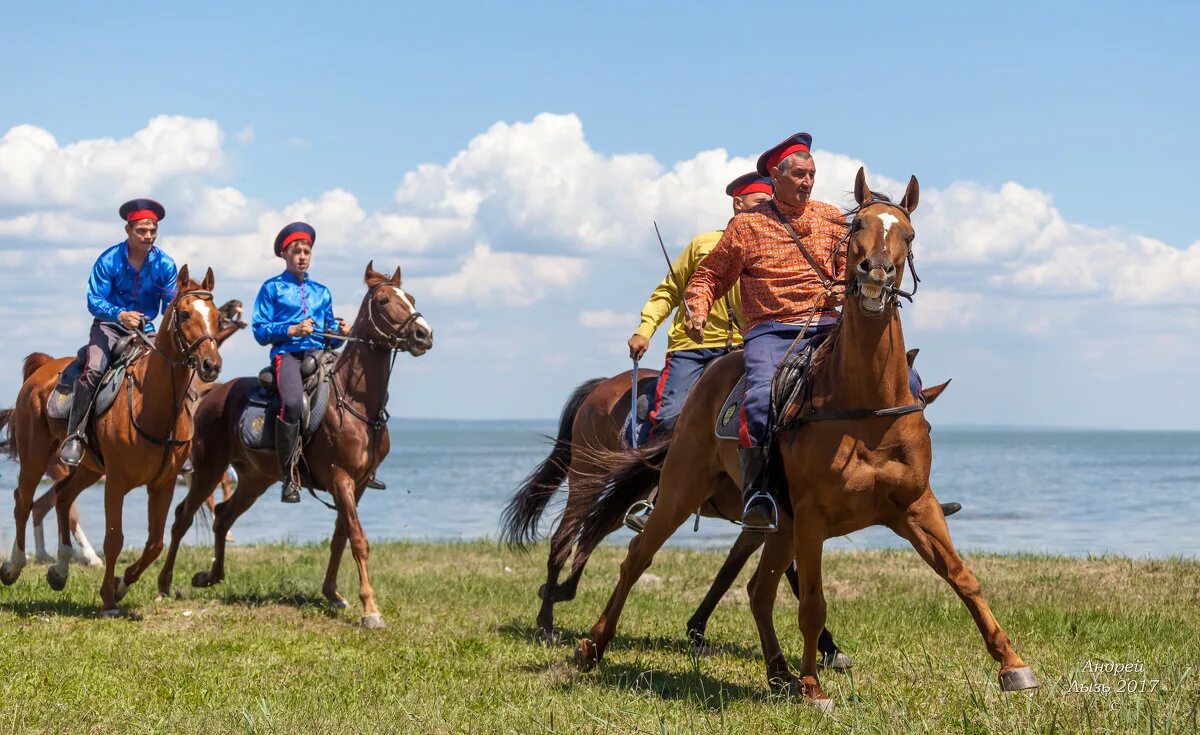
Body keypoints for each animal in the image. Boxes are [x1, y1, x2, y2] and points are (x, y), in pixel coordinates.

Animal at [0, 266, 223, 612]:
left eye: (217, 316)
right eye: (185, 314)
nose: (211, 365)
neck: (152, 405)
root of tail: (43, 367)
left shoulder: (164, 483)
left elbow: (155, 542)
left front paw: (120, 585)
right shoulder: (116, 483)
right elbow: (114, 539)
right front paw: (107, 597)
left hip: (88, 468)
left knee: (62, 498)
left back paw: (60, 570)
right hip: (35, 455)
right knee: (23, 501)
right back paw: (13, 566)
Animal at [157, 261, 434, 629]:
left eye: (411, 298)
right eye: (385, 300)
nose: (423, 334)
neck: (354, 401)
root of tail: (209, 396)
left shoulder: (358, 484)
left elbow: (340, 538)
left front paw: (333, 594)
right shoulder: (341, 479)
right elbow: (358, 540)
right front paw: (370, 609)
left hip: (255, 479)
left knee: (223, 517)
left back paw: (211, 576)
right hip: (208, 470)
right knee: (182, 518)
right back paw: (164, 584)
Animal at [566, 169, 1036, 710]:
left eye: (909, 234)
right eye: (856, 230)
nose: (875, 273)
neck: (866, 408)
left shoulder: (916, 507)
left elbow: (964, 578)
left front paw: (1013, 665)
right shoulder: (813, 518)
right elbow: (813, 603)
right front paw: (814, 688)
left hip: (778, 524)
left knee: (757, 590)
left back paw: (777, 672)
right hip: (684, 492)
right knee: (636, 558)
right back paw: (591, 645)